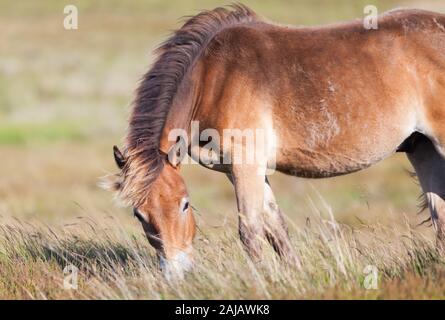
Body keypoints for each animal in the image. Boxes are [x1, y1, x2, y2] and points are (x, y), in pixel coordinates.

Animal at [106, 4, 445, 276]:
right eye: (139, 215)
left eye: (185, 205)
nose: (177, 274)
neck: (213, 79)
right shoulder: (238, 171)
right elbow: (276, 228)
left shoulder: (247, 166)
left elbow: (251, 230)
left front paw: (259, 281)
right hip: (422, 148)